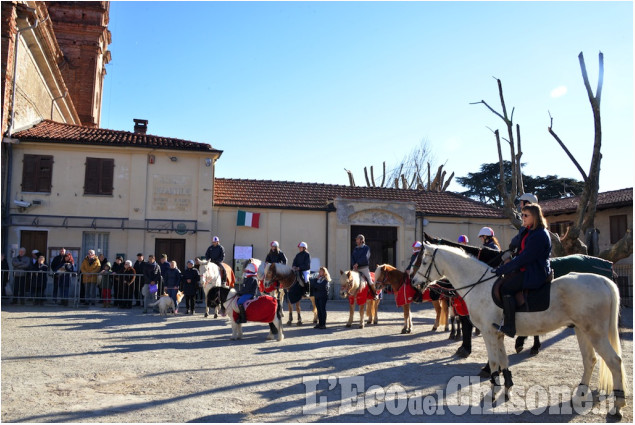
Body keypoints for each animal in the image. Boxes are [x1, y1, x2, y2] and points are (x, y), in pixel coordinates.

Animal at [414, 242, 628, 418]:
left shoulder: (488, 333)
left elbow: (494, 362)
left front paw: (493, 392)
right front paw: (507, 390)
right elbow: (503, 361)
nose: (415, 283)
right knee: (590, 360)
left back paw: (617, 406)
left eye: (423, 261)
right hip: (582, 331)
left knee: (614, 362)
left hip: (595, 333)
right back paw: (578, 396)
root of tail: (603, 280)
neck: (480, 285)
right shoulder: (498, 334)